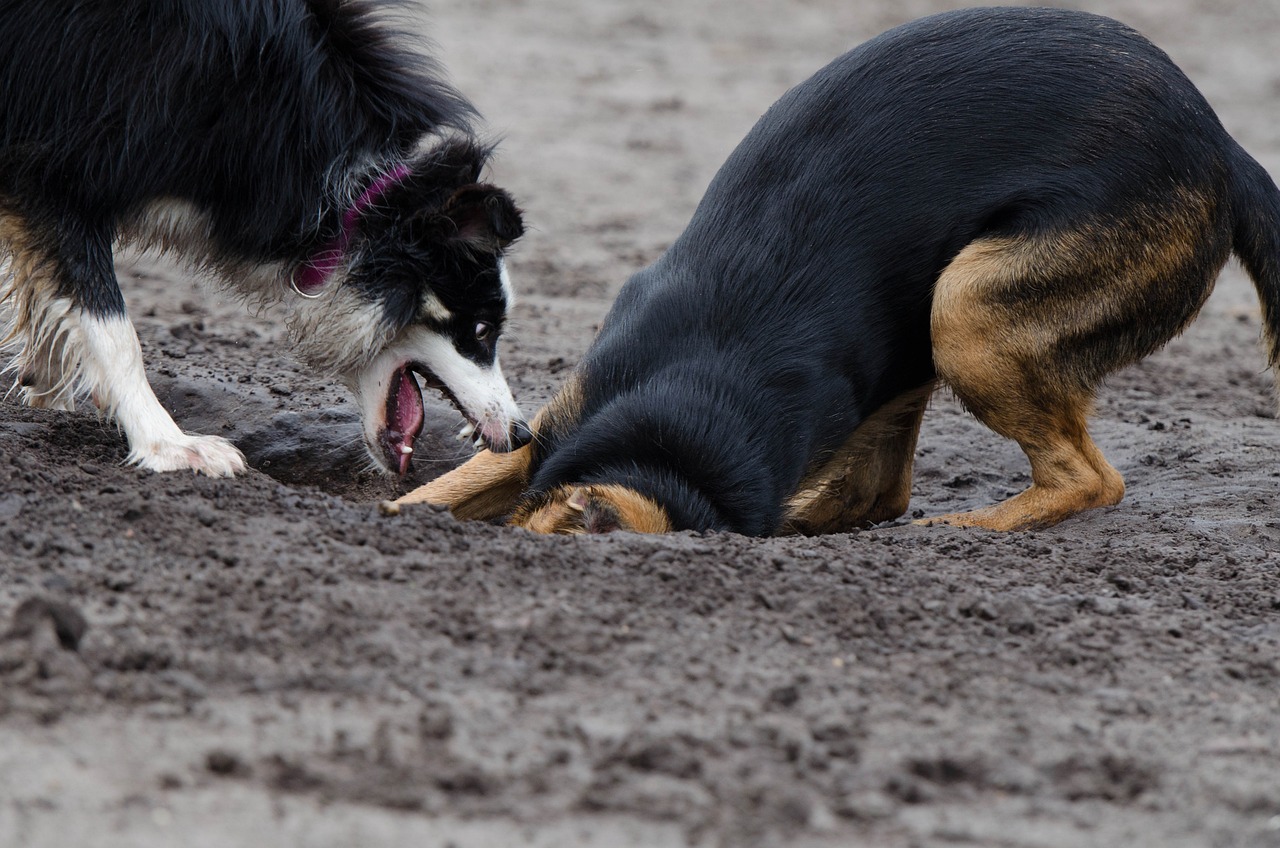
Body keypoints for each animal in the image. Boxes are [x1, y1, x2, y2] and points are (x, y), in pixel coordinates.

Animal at [0, 0, 529, 479]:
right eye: (482, 330)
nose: (520, 434)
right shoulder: (70, 149)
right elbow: (110, 324)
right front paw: (174, 448)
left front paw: (44, 385)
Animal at [394, 6, 1274, 535]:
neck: (675, 436)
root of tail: (1222, 148)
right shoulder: (548, 429)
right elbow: (450, 487)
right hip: (932, 334)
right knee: (885, 489)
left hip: (966, 312)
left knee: (1086, 480)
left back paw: (950, 535)